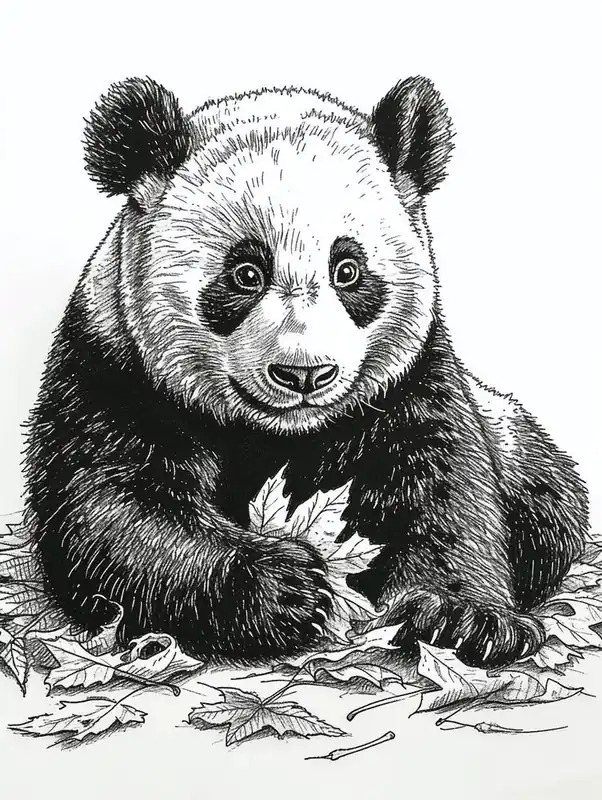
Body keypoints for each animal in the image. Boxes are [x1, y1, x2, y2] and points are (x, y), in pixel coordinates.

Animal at [24, 75, 589, 669]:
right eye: (245, 273)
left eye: (349, 269)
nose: (304, 374)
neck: (280, 436)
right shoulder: (112, 373)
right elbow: (118, 508)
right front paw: (284, 588)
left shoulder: (413, 381)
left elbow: (443, 491)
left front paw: (465, 618)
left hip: (515, 441)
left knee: (550, 505)